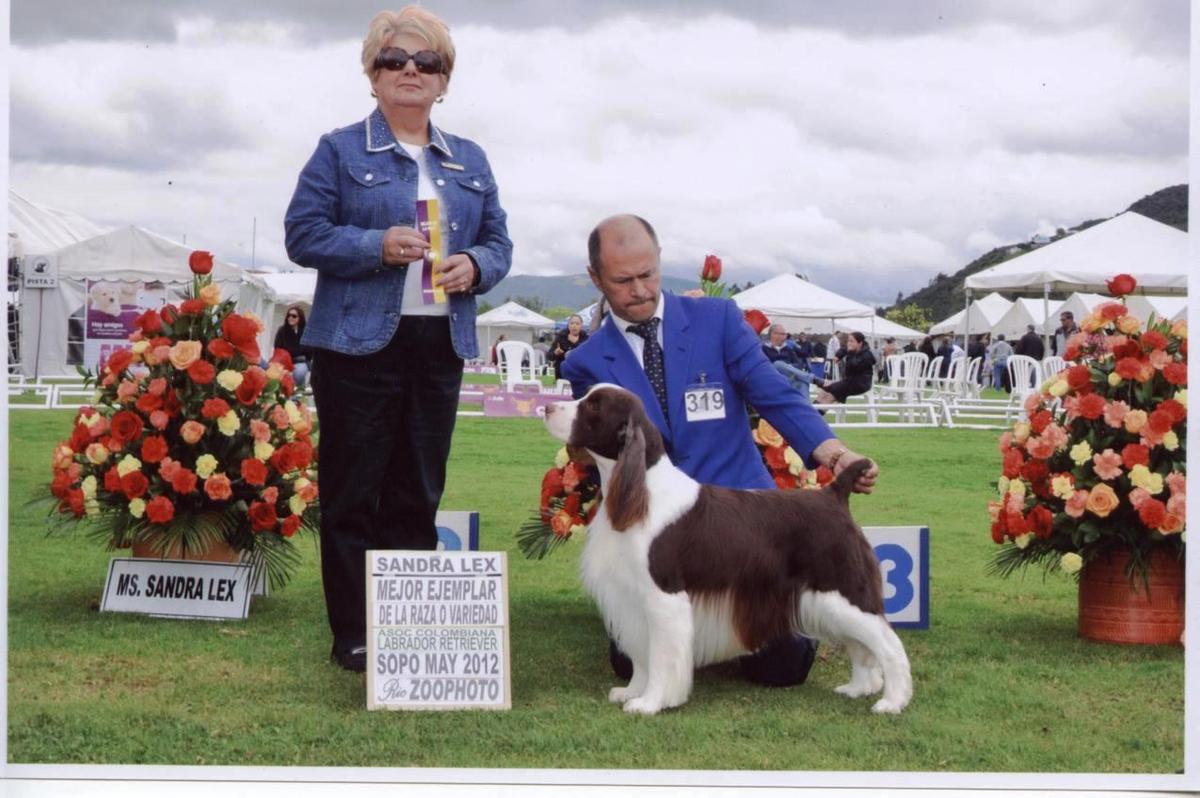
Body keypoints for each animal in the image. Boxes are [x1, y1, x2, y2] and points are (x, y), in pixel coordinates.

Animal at [544, 384, 907, 710]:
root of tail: (834, 495)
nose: (546, 408)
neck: (643, 492)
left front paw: (650, 703)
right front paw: (632, 692)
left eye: (594, 406)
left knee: (888, 645)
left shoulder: (664, 596)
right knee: (861, 646)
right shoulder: (632, 595)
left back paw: (892, 702)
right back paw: (858, 688)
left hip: (842, 591)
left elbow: (661, 657)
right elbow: (642, 655)